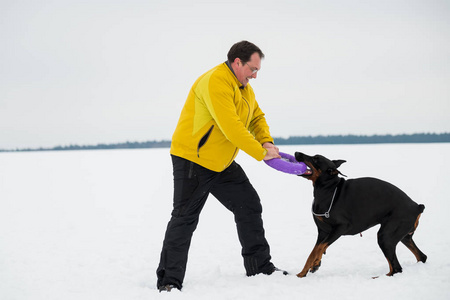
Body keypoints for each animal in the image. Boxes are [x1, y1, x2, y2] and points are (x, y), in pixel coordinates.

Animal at [294, 154, 428, 278]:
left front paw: (315, 263)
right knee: (421, 257)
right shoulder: (323, 232)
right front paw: (302, 273)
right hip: (403, 236)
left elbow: (320, 248)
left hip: (386, 236)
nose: (297, 153)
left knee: (396, 268)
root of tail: (416, 207)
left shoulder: (340, 227)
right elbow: (314, 251)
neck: (329, 189)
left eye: (316, 159)